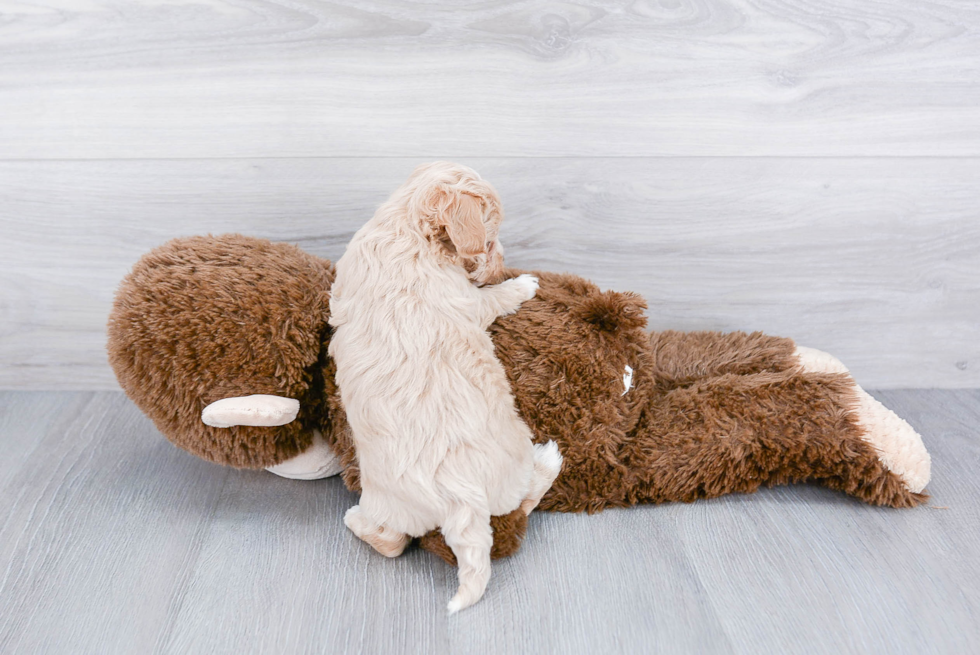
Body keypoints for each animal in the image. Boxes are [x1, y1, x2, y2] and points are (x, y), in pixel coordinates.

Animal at [328, 163, 560, 616]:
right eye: (489, 240)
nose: (501, 266)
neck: (405, 226)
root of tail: (460, 498)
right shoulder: (471, 303)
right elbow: (493, 300)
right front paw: (522, 285)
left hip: (391, 503)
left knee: (390, 542)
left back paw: (355, 521)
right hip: (513, 464)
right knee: (525, 498)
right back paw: (550, 459)